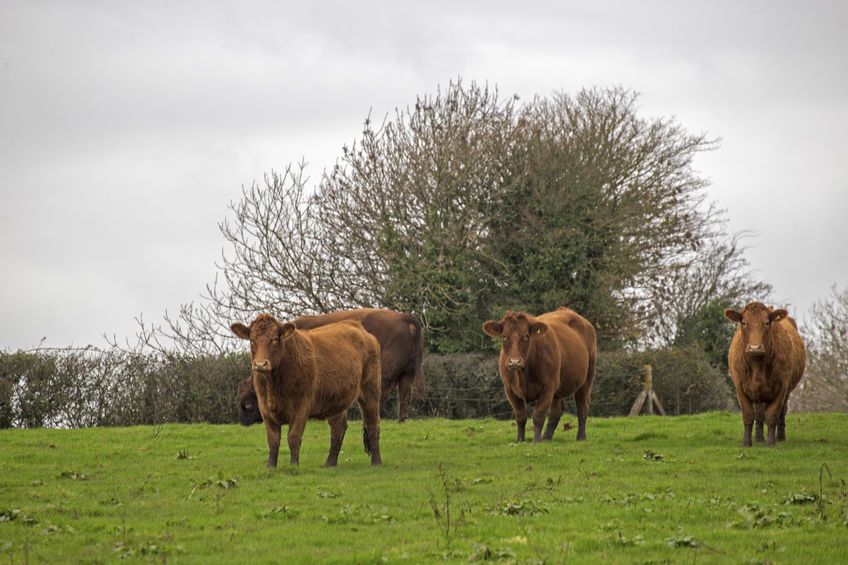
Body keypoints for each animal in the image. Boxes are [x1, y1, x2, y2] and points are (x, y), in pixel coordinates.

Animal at [229, 312, 380, 468]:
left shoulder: (301, 406)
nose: (260, 364)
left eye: (275, 339)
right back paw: (330, 463)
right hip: (335, 399)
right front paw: (271, 467)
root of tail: (356, 325)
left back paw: (376, 462)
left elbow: (293, 437)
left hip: (370, 390)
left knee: (372, 424)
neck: (273, 386)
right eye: (252, 340)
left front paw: (293, 465)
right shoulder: (265, 409)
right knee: (338, 428)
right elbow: (273, 440)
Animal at [238, 308, 424, 424]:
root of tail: (406, 318)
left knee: (381, 395)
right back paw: (402, 420)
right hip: (408, 373)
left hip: (383, 373)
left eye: (247, 404)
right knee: (405, 393)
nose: (243, 423)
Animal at [484, 306, 596, 442]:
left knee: (582, 406)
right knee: (556, 411)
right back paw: (547, 437)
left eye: (526, 336)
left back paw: (581, 437)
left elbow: (538, 415)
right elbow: (520, 416)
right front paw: (520, 440)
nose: (514, 361)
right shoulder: (509, 389)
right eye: (504, 336)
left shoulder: (548, 386)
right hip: (558, 386)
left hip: (587, 378)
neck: (522, 374)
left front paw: (536, 440)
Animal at [724, 302, 804, 448]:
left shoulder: (782, 386)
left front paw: (771, 443)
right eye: (744, 322)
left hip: (786, 391)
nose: (755, 348)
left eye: (767, 323)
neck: (757, 366)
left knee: (781, 412)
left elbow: (772, 415)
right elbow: (749, 415)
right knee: (759, 415)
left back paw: (780, 437)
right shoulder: (740, 386)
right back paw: (759, 439)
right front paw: (747, 443)